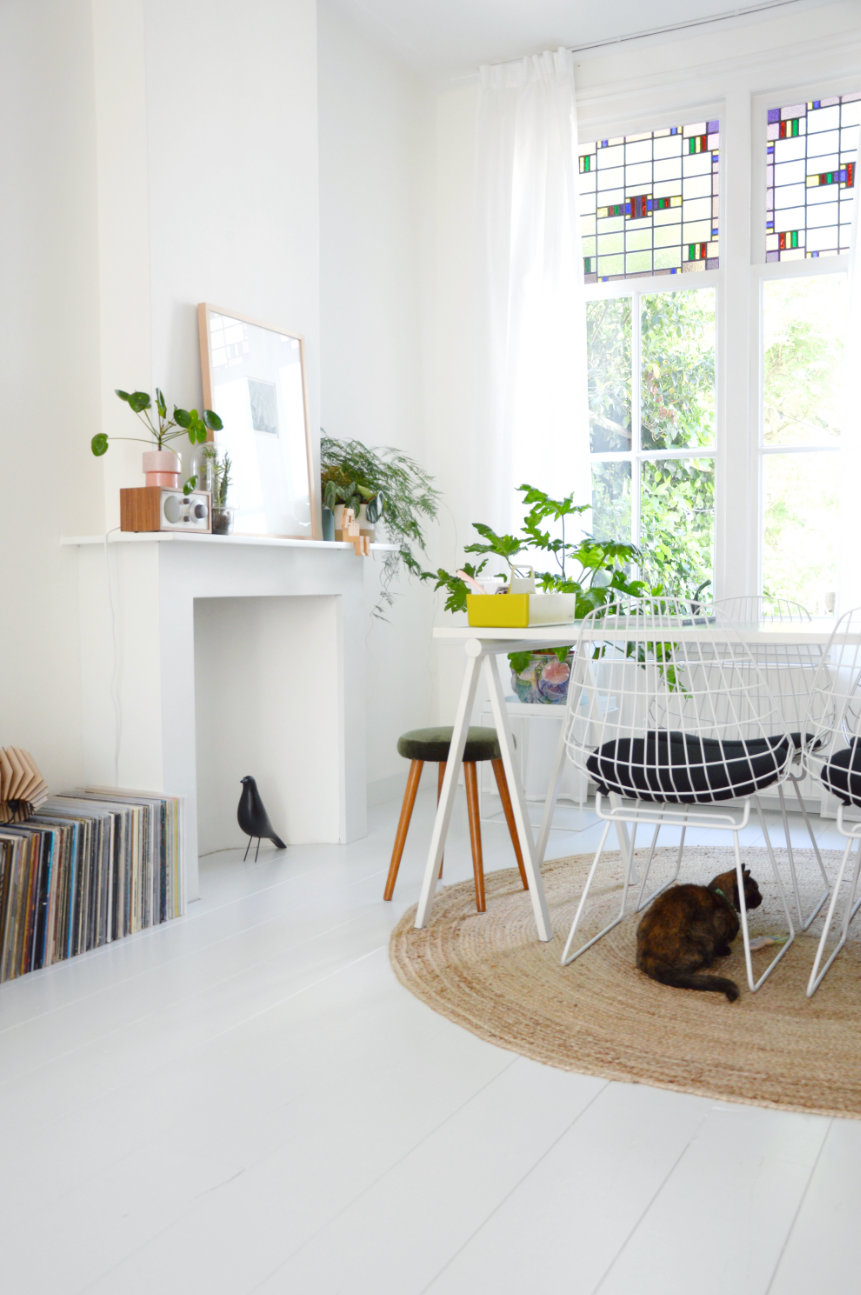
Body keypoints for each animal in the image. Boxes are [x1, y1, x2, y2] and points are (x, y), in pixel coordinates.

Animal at [634, 865, 761, 1004]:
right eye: (755, 888)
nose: (761, 898)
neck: (720, 894)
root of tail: (647, 955)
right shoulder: (720, 921)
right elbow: (720, 943)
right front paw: (724, 950)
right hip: (702, 933)